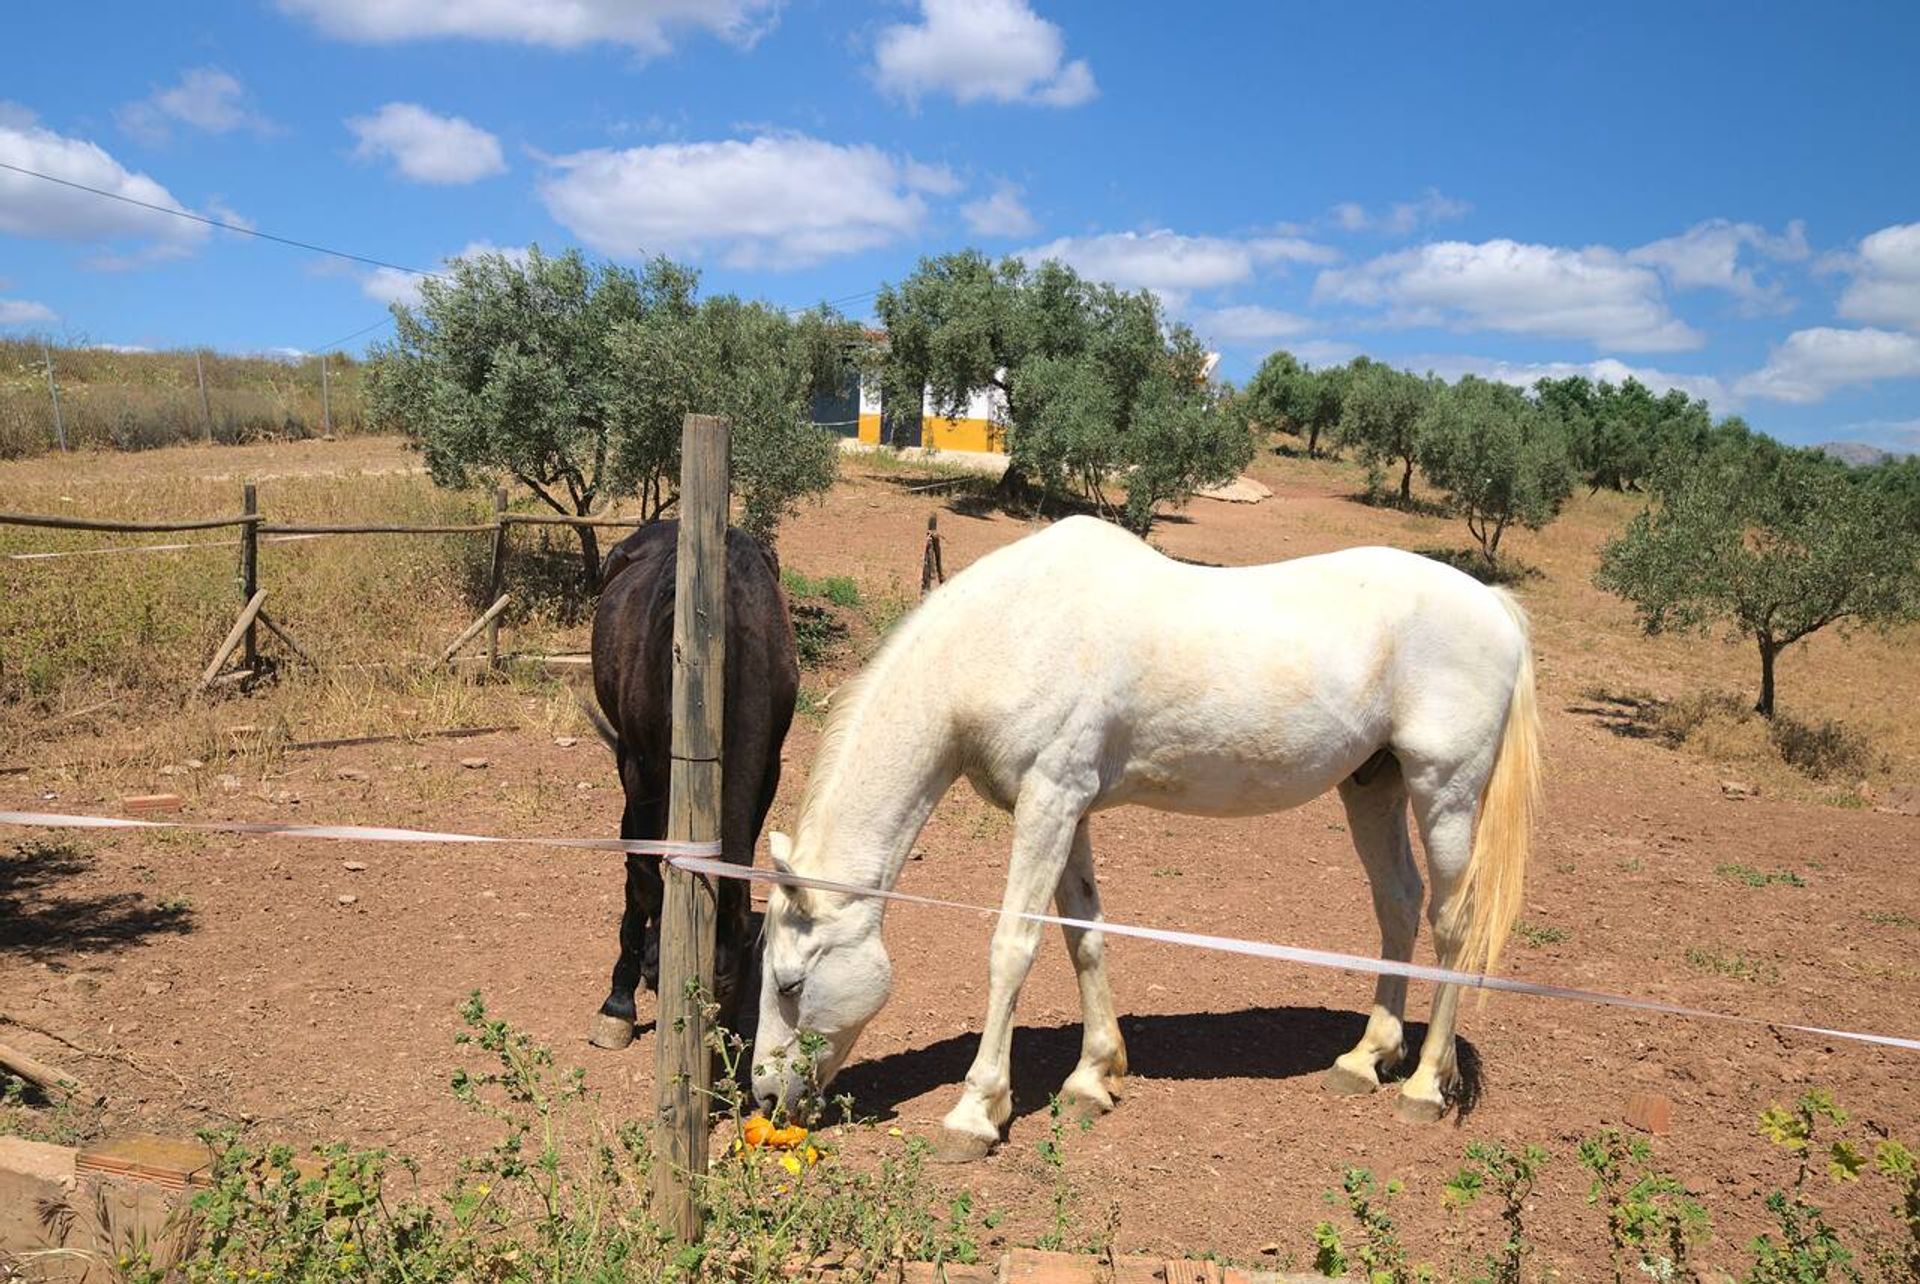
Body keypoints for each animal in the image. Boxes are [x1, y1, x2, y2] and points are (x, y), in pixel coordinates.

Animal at [583, 522, 794, 1051]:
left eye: (734, 989)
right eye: (665, 984)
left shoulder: (769, 771)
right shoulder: (639, 769)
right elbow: (641, 875)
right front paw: (619, 1002)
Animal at [752, 514, 1543, 1159]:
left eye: (791, 982)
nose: (763, 1096)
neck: (1008, 635)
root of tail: (1494, 606)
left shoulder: (1048, 802)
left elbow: (1013, 947)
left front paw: (976, 1113)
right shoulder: (1066, 809)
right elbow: (1083, 933)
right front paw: (1093, 1077)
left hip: (1445, 792)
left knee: (1451, 922)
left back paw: (1423, 1086)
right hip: (1373, 786)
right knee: (1397, 904)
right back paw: (1366, 1059)